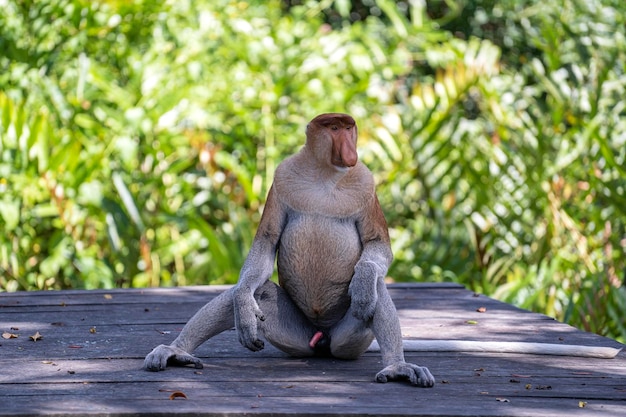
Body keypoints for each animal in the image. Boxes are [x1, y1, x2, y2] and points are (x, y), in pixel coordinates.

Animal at [143, 112, 434, 386]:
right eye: (334, 128)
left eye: (349, 128)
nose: (350, 151)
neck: (325, 175)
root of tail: (323, 339)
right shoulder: (282, 178)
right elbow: (266, 242)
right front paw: (244, 309)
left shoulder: (366, 184)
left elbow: (377, 244)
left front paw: (363, 280)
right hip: (296, 337)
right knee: (257, 292)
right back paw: (177, 350)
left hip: (348, 340)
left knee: (376, 285)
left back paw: (397, 365)